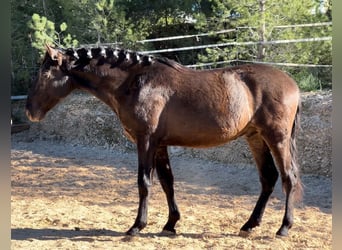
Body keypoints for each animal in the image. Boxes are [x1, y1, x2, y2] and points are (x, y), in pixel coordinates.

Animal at [26, 44, 302, 237]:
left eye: (44, 74)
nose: (29, 110)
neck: (137, 82)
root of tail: (292, 84)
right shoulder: (159, 144)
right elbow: (167, 182)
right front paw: (171, 223)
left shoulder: (146, 140)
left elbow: (144, 182)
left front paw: (137, 226)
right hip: (255, 138)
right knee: (268, 178)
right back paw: (249, 224)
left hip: (276, 138)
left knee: (288, 178)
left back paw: (284, 227)